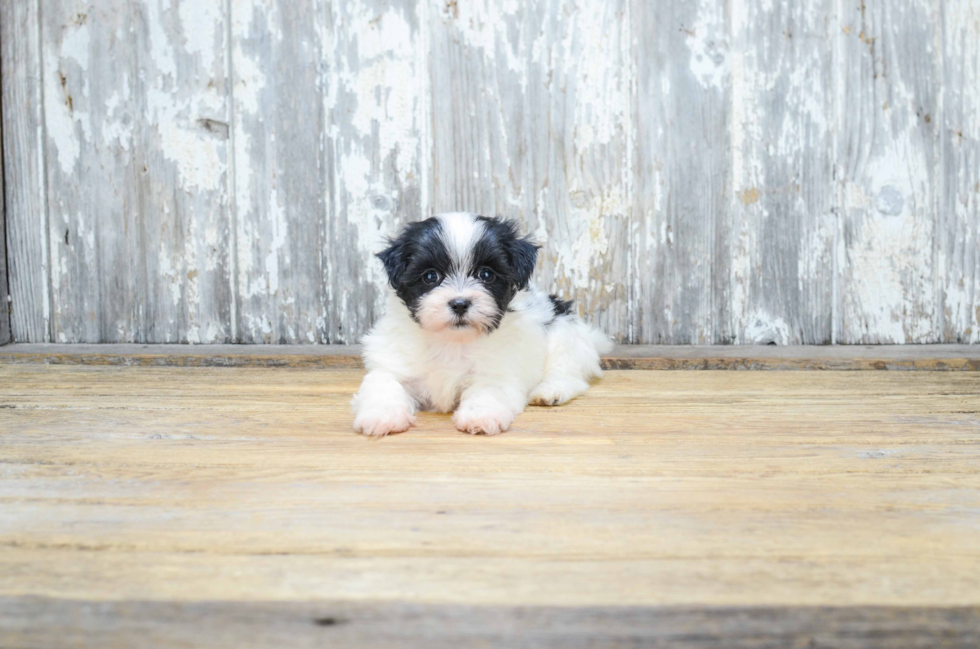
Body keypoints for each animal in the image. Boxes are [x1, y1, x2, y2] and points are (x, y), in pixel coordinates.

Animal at [352, 213, 612, 436]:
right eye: (430, 276)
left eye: (485, 274)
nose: (459, 304)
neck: (452, 341)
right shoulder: (392, 363)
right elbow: (384, 383)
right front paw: (381, 416)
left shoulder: (499, 369)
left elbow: (488, 390)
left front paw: (480, 415)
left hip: (563, 331)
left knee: (569, 374)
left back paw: (549, 391)